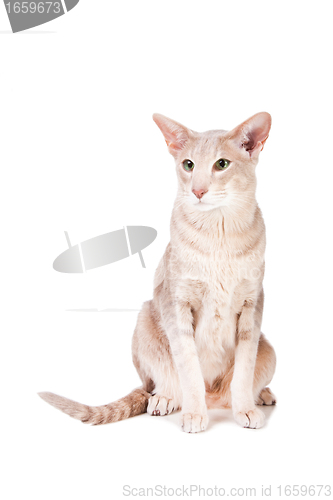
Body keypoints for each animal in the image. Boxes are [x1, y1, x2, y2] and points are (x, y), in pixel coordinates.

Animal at [40, 111, 276, 432]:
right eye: (188, 165)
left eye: (222, 164)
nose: (197, 191)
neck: (218, 235)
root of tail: (215, 398)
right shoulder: (177, 304)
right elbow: (189, 369)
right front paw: (194, 414)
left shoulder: (252, 306)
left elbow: (243, 372)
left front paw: (245, 410)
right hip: (144, 319)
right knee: (159, 384)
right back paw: (165, 399)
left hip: (269, 351)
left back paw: (260, 395)